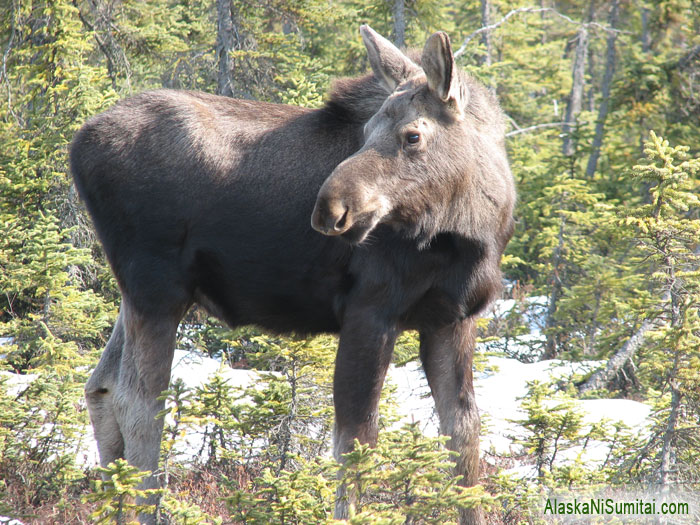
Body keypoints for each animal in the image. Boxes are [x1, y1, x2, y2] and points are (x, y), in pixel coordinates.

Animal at [71, 25, 516, 524]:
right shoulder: (370, 308)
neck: (474, 230)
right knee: (140, 402)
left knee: (101, 385)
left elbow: (463, 435)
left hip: (137, 293)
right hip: (156, 286)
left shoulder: (454, 318)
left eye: (412, 135)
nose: (329, 208)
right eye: (364, 132)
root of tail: (77, 143)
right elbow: (355, 442)